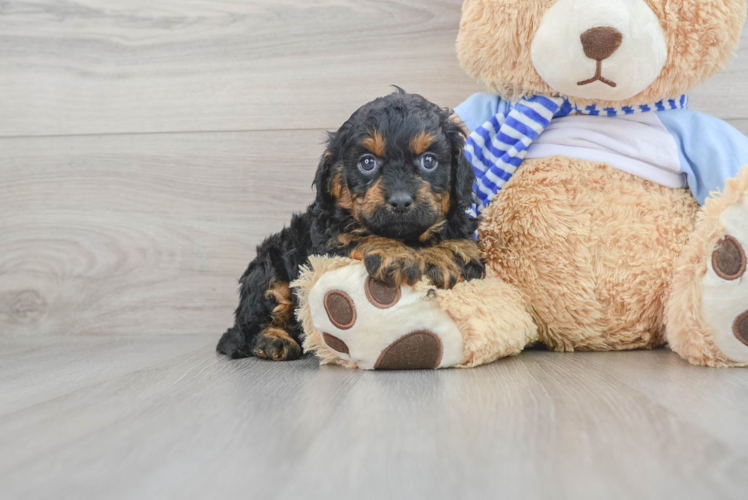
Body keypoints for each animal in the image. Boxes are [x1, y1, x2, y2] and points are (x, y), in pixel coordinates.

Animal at [216, 90, 486, 362]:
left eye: (428, 161)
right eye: (367, 163)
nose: (400, 200)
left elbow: (460, 241)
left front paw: (445, 255)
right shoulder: (326, 241)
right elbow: (358, 236)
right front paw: (395, 254)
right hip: (268, 271)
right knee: (250, 324)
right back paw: (272, 339)